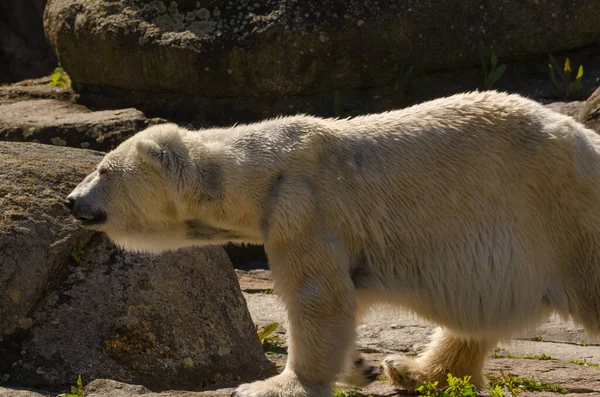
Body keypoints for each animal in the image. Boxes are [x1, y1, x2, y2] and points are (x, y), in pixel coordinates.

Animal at [65, 91, 600, 394]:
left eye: (103, 169)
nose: (71, 200)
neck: (263, 168)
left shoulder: (303, 205)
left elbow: (318, 298)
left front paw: (274, 385)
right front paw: (359, 366)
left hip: (562, 217)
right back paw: (413, 371)